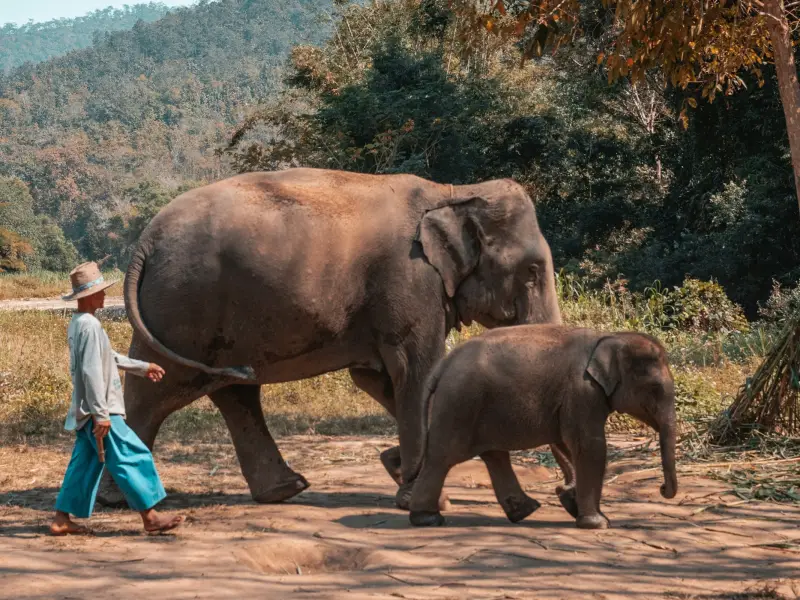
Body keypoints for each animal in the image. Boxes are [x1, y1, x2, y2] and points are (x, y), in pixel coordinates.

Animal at [97, 167, 562, 508]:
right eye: (533, 271)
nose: (564, 497)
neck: (455, 191)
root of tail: (144, 243)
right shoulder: (410, 282)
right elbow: (416, 372)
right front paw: (417, 492)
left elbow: (377, 378)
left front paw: (398, 469)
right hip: (184, 307)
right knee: (155, 390)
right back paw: (120, 501)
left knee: (232, 391)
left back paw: (285, 490)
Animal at [407, 324, 678, 529]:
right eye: (655, 389)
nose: (662, 488)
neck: (610, 337)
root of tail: (443, 364)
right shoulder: (582, 391)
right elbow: (590, 446)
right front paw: (598, 523)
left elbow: (569, 444)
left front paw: (572, 503)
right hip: (459, 404)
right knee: (442, 457)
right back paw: (427, 518)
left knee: (494, 455)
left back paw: (524, 511)